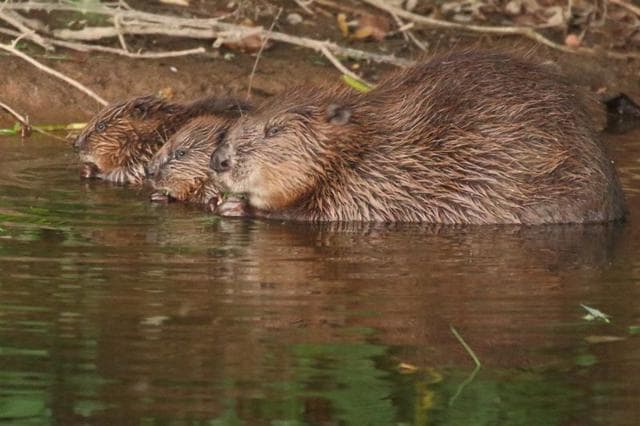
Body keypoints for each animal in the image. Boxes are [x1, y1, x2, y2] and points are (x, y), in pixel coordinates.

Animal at [210, 51, 626, 224]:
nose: (219, 160)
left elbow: (320, 213)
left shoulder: (372, 186)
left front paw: (236, 207)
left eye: (275, 130)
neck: (366, 147)